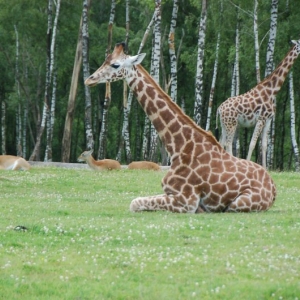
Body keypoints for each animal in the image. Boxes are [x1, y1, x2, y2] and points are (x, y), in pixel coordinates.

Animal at [85, 42, 276, 213]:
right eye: (106, 59)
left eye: (115, 64)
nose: (89, 80)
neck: (178, 147)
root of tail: (274, 188)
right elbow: (136, 201)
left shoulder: (187, 200)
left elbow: (134, 203)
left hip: (239, 203)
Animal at [217, 38, 300, 168]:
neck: (272, 91)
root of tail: (219, 109)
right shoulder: (261, 118)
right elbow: (252, 143)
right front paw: (249, 164)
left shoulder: (268, 120)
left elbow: (264, 145)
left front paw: (266, 168)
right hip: (232, 124)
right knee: (228, 144)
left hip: (224, 124)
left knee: (221, 142)